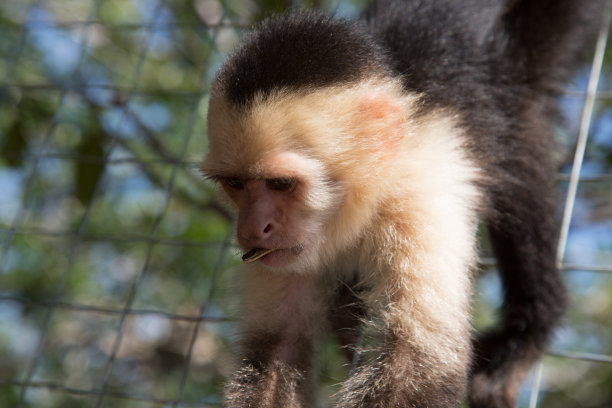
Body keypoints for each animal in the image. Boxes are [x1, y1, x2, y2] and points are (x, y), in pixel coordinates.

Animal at [201, 0, 604, 408]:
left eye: (281, 184)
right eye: (235, 183)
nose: (252, 227)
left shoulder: (418, 200)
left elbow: (413, 365)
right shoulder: (284, 253)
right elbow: (277, 350)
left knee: (519, 178)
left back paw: (528, 330)